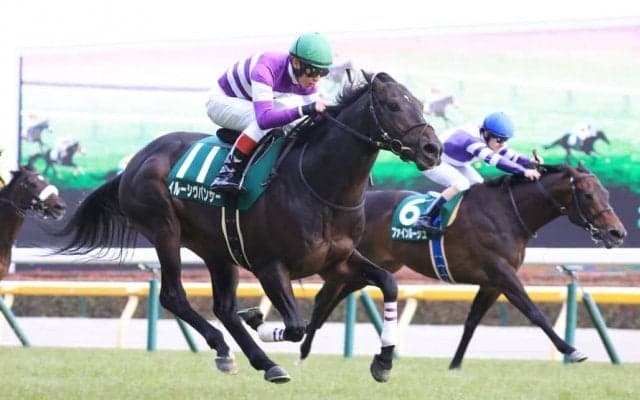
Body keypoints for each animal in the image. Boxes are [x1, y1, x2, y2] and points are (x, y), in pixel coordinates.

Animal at [53, 72, 443, 383]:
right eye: (393, 105)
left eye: (419, 103)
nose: (432, 148)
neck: (319, 184)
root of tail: (136, 161)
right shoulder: (270, 265)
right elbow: (296, 326)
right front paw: (258, 320)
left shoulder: (339, 261)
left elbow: (388, 284)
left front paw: (384, 361)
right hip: (164, 230)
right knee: (174, 295)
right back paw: (227, 348)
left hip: (217, 249)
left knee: (224, 307)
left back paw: (262, 363)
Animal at [299, 163, 626, 369]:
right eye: (587, 195)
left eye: (607, 194)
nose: (617, 233)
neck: (507, 213)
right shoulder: (503, 274)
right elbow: (535, 313)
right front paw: (572, 350)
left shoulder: (491, 282)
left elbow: (472, 322)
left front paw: (454, 365)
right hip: (352, 264)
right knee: (324, 298)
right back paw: (303, 348)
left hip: (375, 268)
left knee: (330, 298)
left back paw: (305, 345)